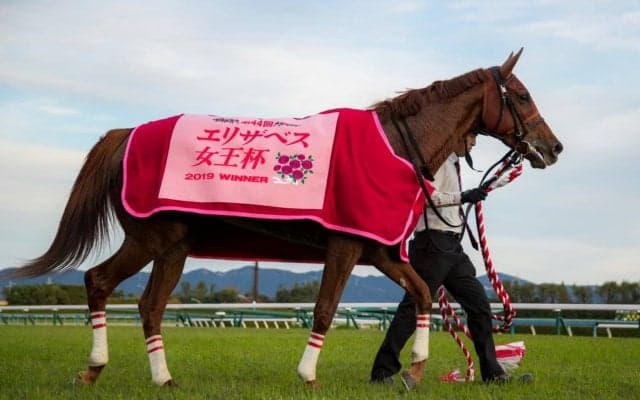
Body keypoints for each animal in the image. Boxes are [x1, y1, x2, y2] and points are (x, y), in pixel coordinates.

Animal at [7, 49, 562, 389]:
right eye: (523, 95)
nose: (554, 147)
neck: (393, 146)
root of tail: (125, 134)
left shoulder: (379, 249)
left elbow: (424, 295)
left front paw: (413, 371)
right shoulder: (344, 246)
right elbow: (324, 310)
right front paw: (308, 375)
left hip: (173, 249)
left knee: (148, 306)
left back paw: (161, 378)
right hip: (149, 239)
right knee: (100, 281)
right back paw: (94, 368)